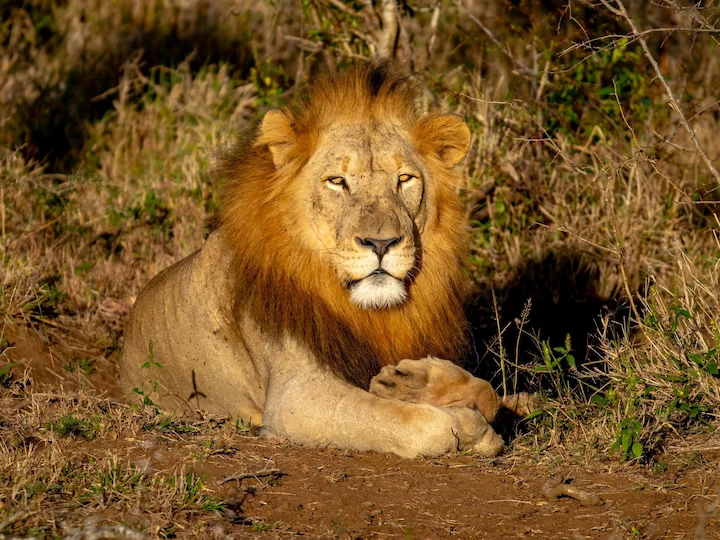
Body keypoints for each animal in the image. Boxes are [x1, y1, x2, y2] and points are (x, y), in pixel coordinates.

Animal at [120, 62, 533, 459]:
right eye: (337, 181)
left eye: (404, 179)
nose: (381, 242)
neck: (367, 313)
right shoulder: (296, 398)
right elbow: (415, 422)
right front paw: (470, 427)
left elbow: (488, 393)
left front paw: (412, 384)